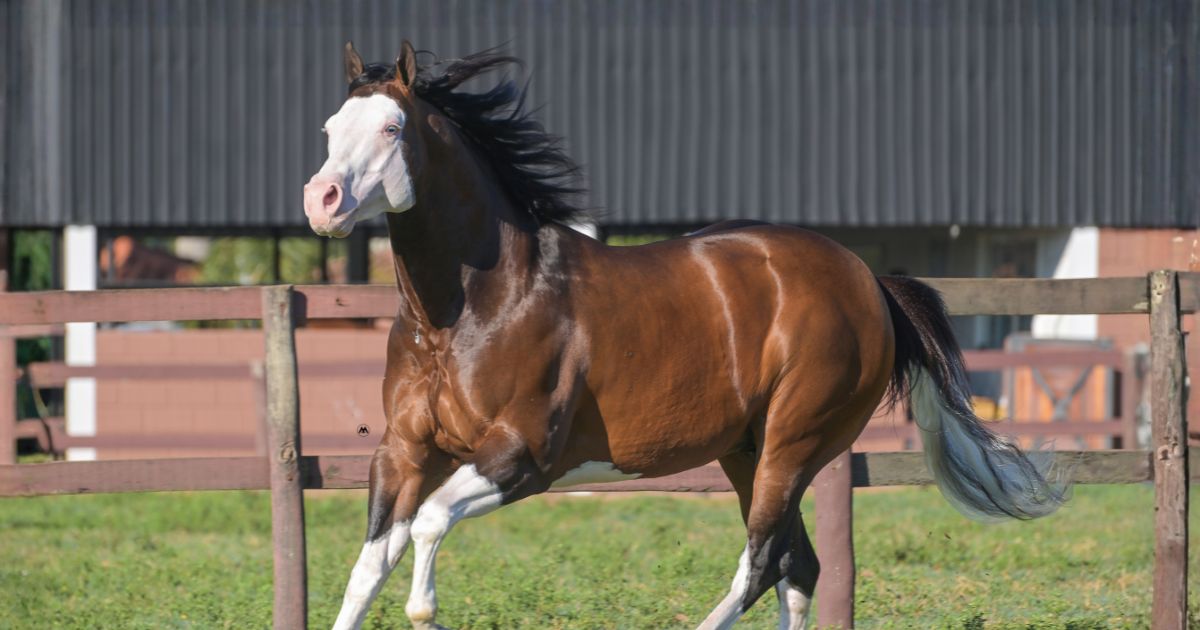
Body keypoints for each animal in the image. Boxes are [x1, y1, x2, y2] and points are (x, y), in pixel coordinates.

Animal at [303, 41, 1067, 630]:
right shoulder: (405, 452)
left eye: (392, 128)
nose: (322, 202)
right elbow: (367, 568)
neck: (472, 309)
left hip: (793, 445)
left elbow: (428, 525)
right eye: (331, 126)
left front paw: (426, 609)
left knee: (763, 564)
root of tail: (869, 282)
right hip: (746, 451)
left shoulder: (524, 455)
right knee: (799, 568)